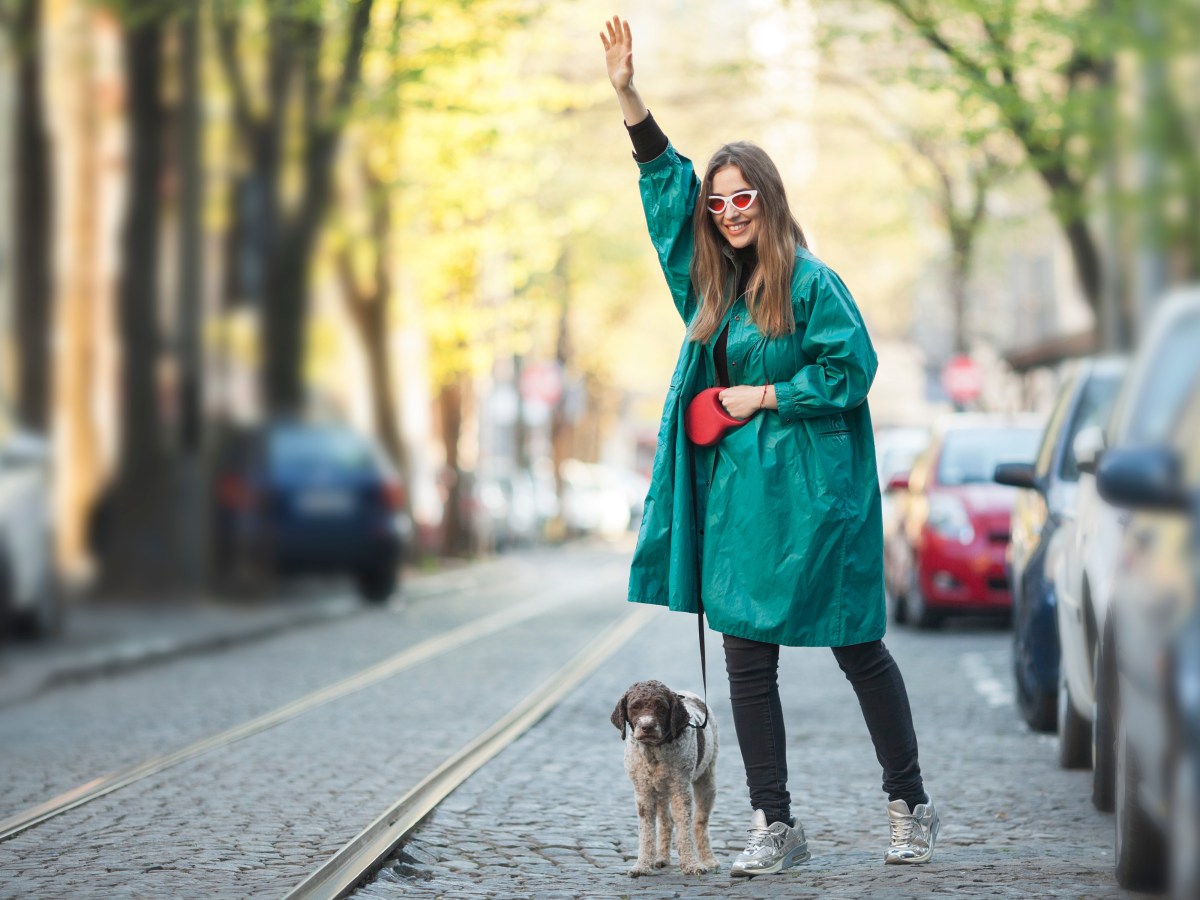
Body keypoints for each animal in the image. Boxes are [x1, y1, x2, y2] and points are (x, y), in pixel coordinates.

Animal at [609, 681, 720, 878]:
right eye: (635, 706)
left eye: (661, 707)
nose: (647, 727)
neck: (654, 751)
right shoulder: (643, 793)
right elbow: (646, 831)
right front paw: (642, 865)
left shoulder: (680, 789)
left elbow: (684, 827)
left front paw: (692, 864)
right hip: (660, 792)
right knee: (666, 822)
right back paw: (661, 857)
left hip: (707, 782)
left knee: (699, 823)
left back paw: (709, 859)